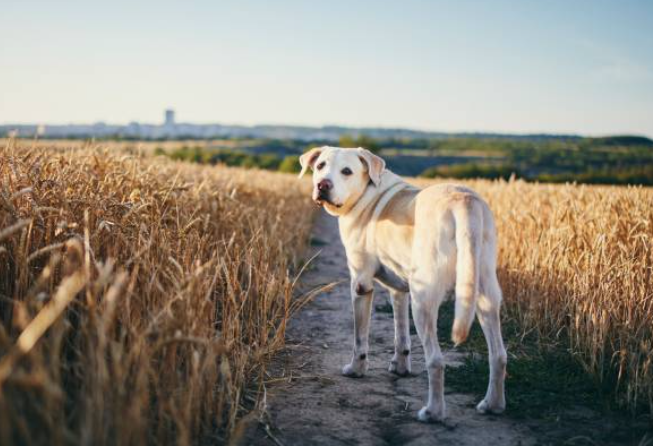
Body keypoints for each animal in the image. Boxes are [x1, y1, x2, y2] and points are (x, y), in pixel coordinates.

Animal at [298, 145, 506, 422]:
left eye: (346, 171)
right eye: (320, 166)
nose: (322, 185)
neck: (366, 194)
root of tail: (464, 203)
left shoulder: (361, 283)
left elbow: (359, 338)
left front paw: (356, 369)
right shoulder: (398, 290)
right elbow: (401, 334)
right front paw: (400, 367)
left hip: (423, 300)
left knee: (436, 361)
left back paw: (433, 412)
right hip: (484, 295)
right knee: (499, 355)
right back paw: (493, 404)